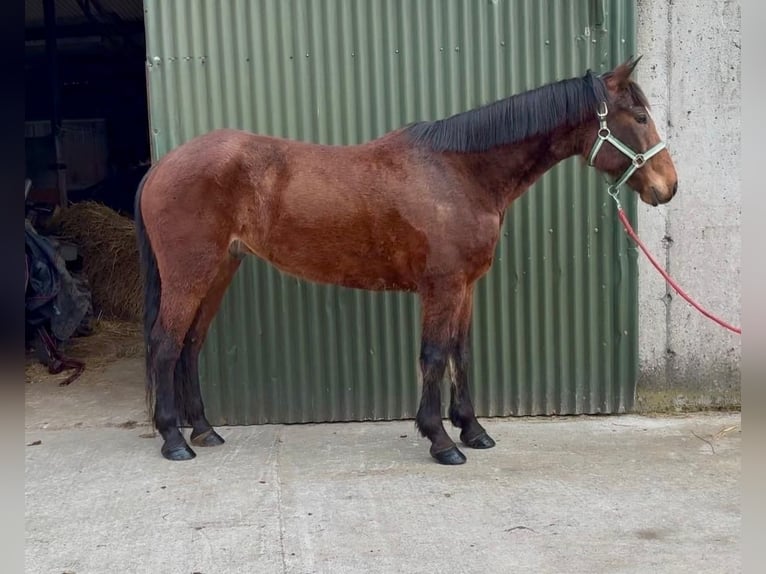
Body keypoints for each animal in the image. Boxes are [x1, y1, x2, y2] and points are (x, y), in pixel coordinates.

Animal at [135, 57, 678, 465]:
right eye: (640, 117)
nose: (668, 187)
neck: (461, 172)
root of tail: (163, 165)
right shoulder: (442, 285)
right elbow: (434, 355)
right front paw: (441, 440)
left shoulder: (466, 287)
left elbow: (461, 352)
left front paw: (473, 430)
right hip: (190, 273)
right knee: (165, 344)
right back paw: (175, 440)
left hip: (219, 270)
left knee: (190, 345)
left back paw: (205, 430)